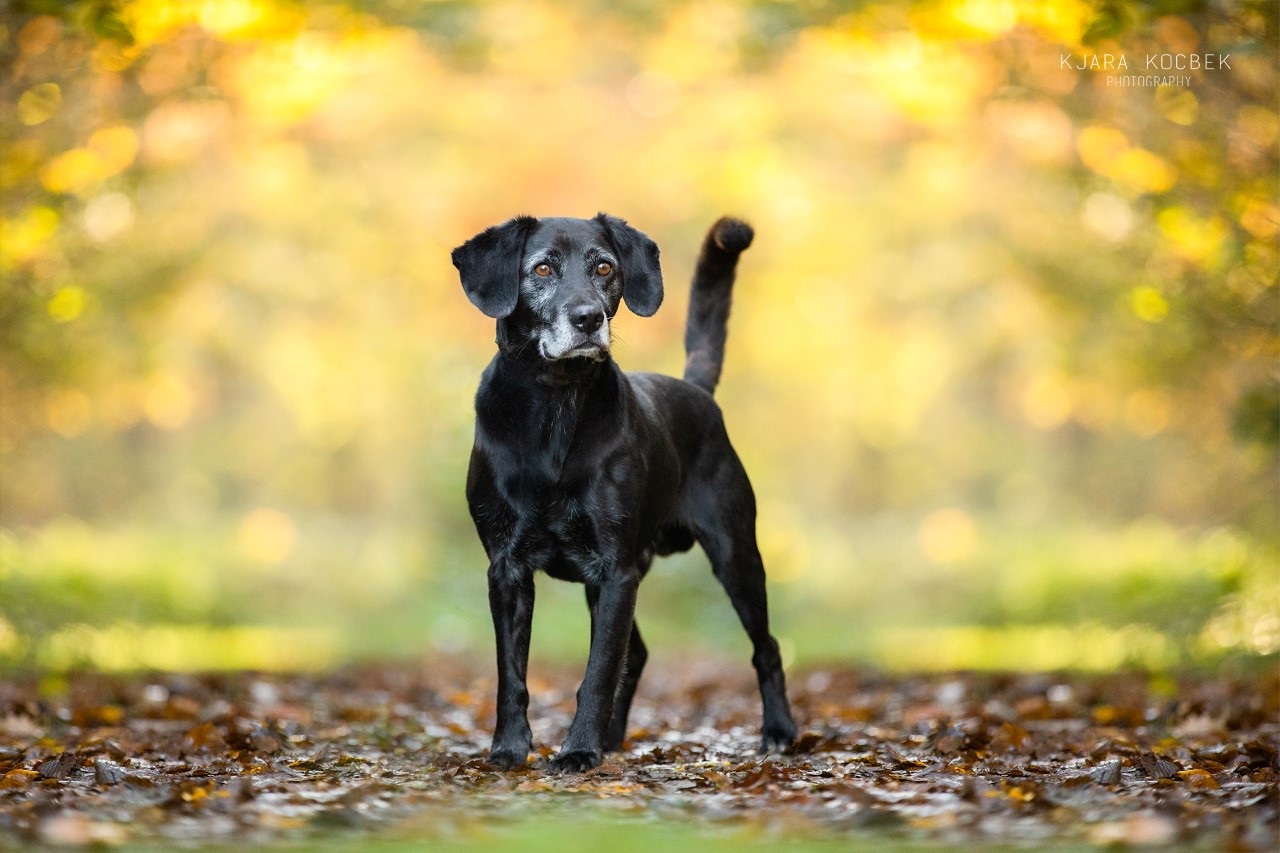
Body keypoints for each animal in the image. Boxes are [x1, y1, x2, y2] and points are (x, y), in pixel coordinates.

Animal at [450, 212, 788, 768]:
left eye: (604, 267)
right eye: (542, 268)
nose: (587, 318)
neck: (555, 403)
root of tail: (696, 390)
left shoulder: (615, 571)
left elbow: (599, 669)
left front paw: (579, 750)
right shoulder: (507, 570)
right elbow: (511, 674)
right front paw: (509, 748)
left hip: (735, 554)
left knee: (767, 647)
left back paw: (780, 731)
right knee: (641, 652)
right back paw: (612, 738)